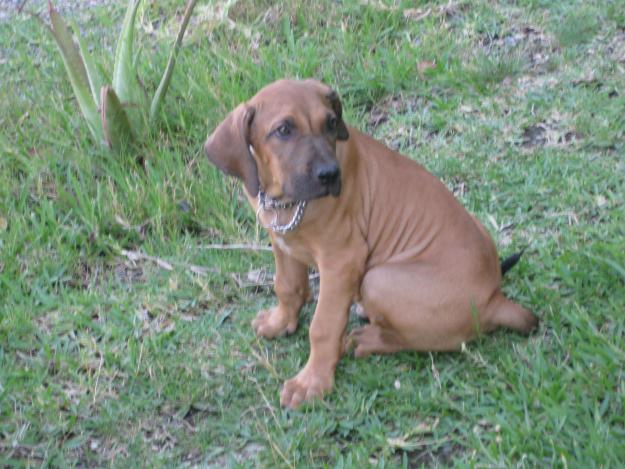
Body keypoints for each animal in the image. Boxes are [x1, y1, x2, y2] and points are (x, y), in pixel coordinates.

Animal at [205, 78, 536, 408]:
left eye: (331, 123)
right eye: (283, 130)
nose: (330, 175)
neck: (286, 200)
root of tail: (495, 298)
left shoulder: (342, 259)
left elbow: (323, 326)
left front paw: (312, 382)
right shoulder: (283, 243)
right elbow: (287, 287)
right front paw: (280, 322)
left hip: (379, 278)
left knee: (415, 339)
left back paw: (367, 338)